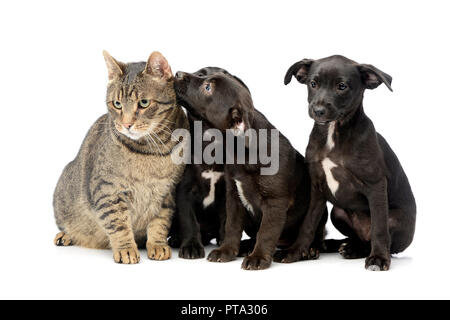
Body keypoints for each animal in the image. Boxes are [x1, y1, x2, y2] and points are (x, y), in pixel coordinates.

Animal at [53, 51, 189, 264]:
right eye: (117, 104)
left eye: (143, 103)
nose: (126, 124)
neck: (152, 151)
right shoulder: (107, 189)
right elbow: (118, 223)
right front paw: (126, 249)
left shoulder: (168, 193)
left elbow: (160, 222)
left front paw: (158, 245)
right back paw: (66, 236)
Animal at [169, 67, 253, 258]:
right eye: (200, 73)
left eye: (208, 87)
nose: (178, 73)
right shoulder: (184, 191)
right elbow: (189, 221)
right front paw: (191, 246)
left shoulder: (227, 192)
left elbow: (227, 220)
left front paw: (225, 245)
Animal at [278, 55, 418, 270]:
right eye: (313, 84)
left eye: (342, 86)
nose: (318, 110)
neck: (333, 132)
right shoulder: (317, 188)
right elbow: (308, 224)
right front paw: (295, 251)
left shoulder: (376, 185)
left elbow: (379, 227)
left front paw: (379, 258)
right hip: (338, 212)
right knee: (358, 238)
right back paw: (344, 246)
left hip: (397, 219)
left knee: (380, 237)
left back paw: (363, 250)